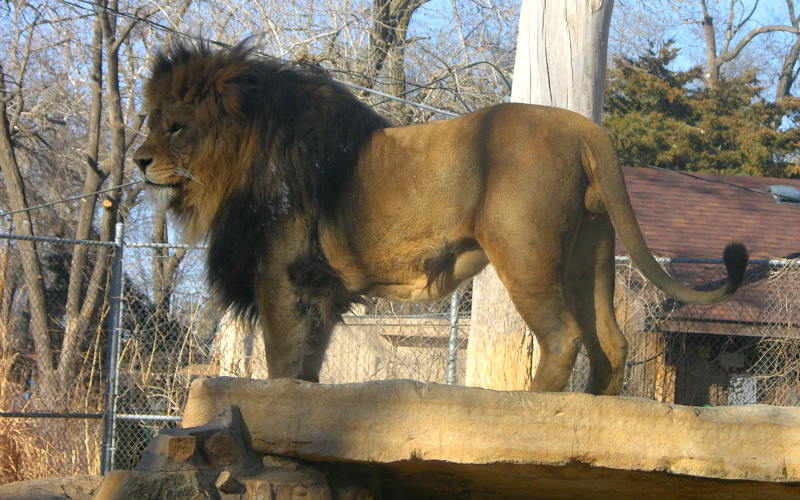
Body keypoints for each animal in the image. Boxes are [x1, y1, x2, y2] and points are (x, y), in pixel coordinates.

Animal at [134, 43, 748, 394]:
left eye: (175, 127)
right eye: (150, 121)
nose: (138, 160)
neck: (235, 160)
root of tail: (585, 129)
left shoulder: (284, 274)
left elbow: (283, 359)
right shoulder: (322, 287)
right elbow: (307, 361)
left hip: (524, 250)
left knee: (564, 337)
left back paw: (529, 409)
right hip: (589, 253)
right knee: (610, 343)